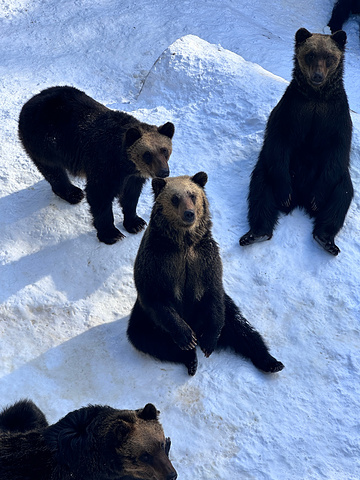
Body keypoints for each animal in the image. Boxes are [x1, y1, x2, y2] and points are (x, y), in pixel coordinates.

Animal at [19, 85, 175, 244]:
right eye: (147, 154)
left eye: (164, 150)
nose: (163, 172)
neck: (125, 163)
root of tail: (30, 101)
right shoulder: (104, 164)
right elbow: (99, 195)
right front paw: (111, 233)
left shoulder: (133, 176)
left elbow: (131, 195)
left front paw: (135, 223)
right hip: (44, 143)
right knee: (53, 170)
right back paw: (73, 193)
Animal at [126, 171, 284, 376]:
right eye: (175, 198)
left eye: (192, 195)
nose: (189, 213)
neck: (184, 243)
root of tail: (196, 325)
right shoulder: (156, 260)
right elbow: (154, 295)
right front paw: (187, 338)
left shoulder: (206, 259)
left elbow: (214, 292)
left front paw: (209, 342)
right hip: (144, 319)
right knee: (146, 338)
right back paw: (191, 357)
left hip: (220, 309)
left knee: (242, 328)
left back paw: (271, 362)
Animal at [239, 28, 352, 256]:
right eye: (311, 54)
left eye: (329, 56)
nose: (317, 76)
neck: (316, 97)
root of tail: (301, 198)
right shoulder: (291, 111)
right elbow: (278, 141)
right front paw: (284, 196)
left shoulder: (337, 117)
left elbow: (339, 149)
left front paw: (318, 200)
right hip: (273, 170)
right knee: (260, 188)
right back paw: (256, 232)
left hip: (336, 177)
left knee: (342, 194)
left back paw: (326, 239)